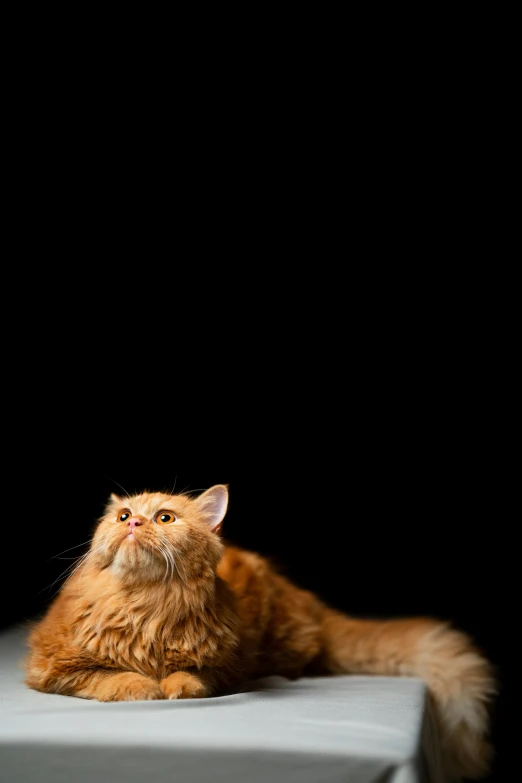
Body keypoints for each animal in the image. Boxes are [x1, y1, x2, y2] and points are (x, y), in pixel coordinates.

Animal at [25, 486, 492, 780]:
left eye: (164, 517)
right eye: (123, 516)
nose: (134, 523)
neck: (145, 607)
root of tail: (303, 599)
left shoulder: (228, 664)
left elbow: (195, 677)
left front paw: (173, 684)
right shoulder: (52, 665)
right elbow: (105, 675)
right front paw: (140, 685)